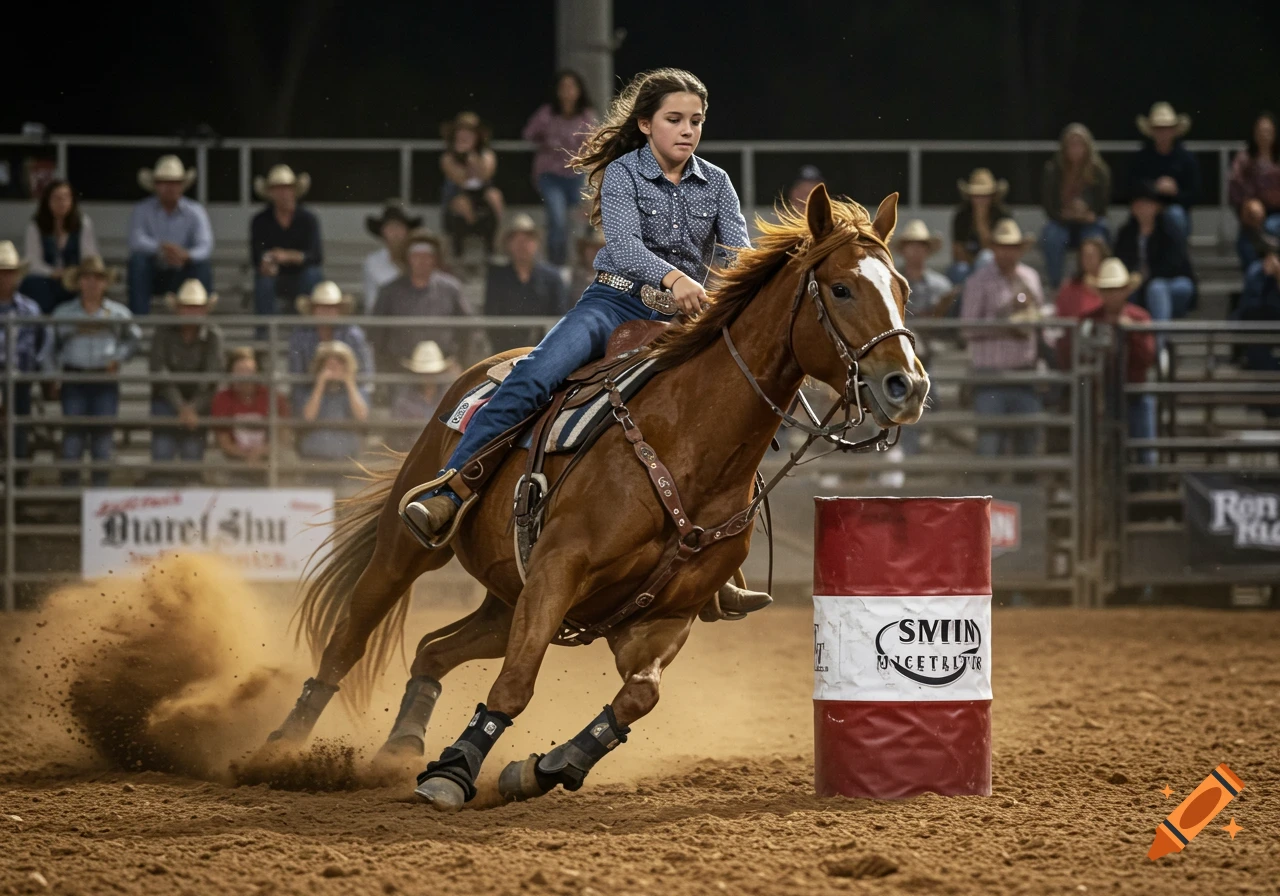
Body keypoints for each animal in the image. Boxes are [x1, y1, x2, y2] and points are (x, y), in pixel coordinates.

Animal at [256, 184, 929, 811]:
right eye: (841, 289)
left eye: (901, 287)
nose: (909, 386)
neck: (689, 444)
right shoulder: (559, 568)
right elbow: (515, 684)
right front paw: (453, 772)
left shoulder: (666, 613)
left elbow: (639, 695)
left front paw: (543, 768)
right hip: (410, 548)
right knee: (349, 636)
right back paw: (283, 748)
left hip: (507, 595)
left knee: (433, 648)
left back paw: (400, 747)